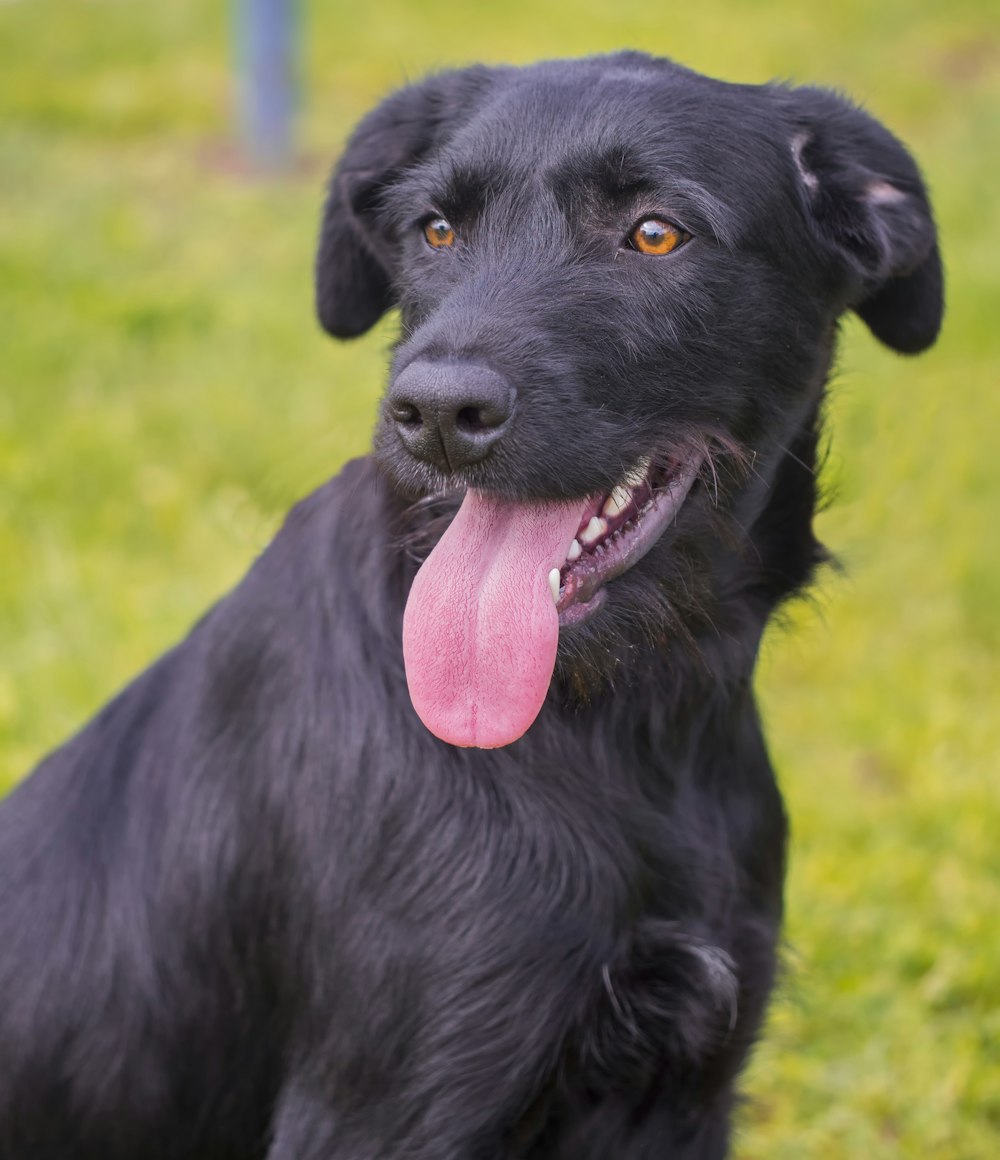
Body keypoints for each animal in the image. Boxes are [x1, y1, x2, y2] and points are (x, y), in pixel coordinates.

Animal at [0, 54, 937, 1160]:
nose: (436, 413)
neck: (619, 720)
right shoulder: (383, 1111)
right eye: (436, 230)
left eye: (656, 232)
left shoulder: (686, 1086)